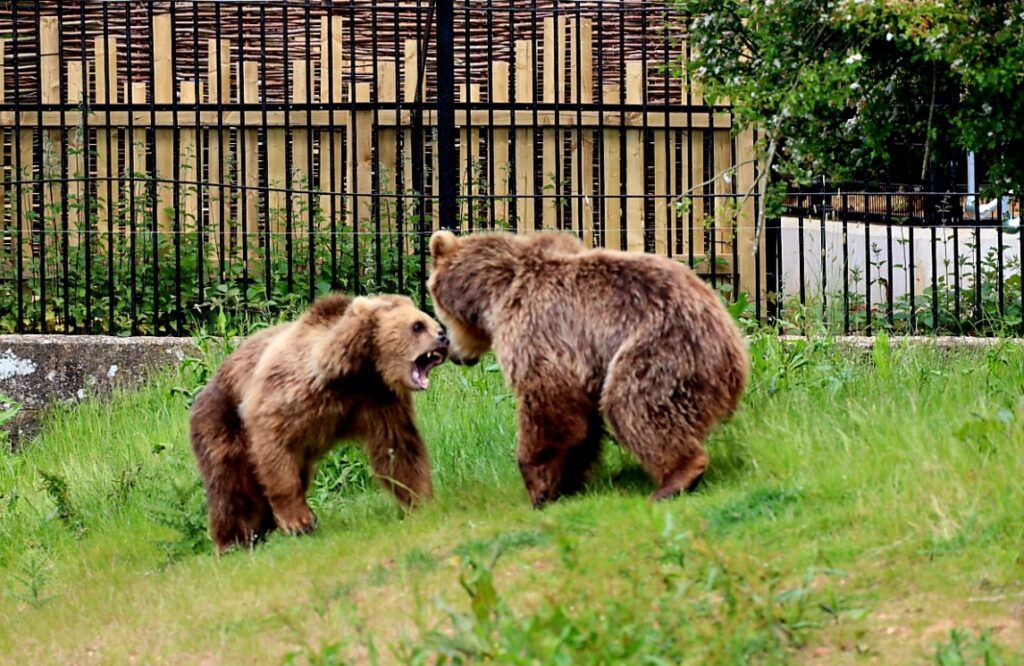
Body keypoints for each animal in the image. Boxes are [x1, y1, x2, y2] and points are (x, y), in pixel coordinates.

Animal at [188, 293, 448, 553]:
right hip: (222, 423)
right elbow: (273, 440)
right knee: (234, 488)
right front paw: (299, 521)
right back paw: (232, 541)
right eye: (418, 326)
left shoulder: (380, 400)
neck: (355, 369)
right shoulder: (293, 391)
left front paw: (422, 502)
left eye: (432, 323)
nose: (443, 337)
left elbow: (398, 450)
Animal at [427, 230, 749, 508]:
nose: (453, 353)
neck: (498, 293)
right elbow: (581, 424)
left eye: (440, 311)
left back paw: (675, 480)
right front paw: (567, 480)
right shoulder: (584, 364)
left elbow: (547, 402)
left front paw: (538, 485)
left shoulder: (536, 328)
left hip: (661, 349)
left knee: (634, 404)